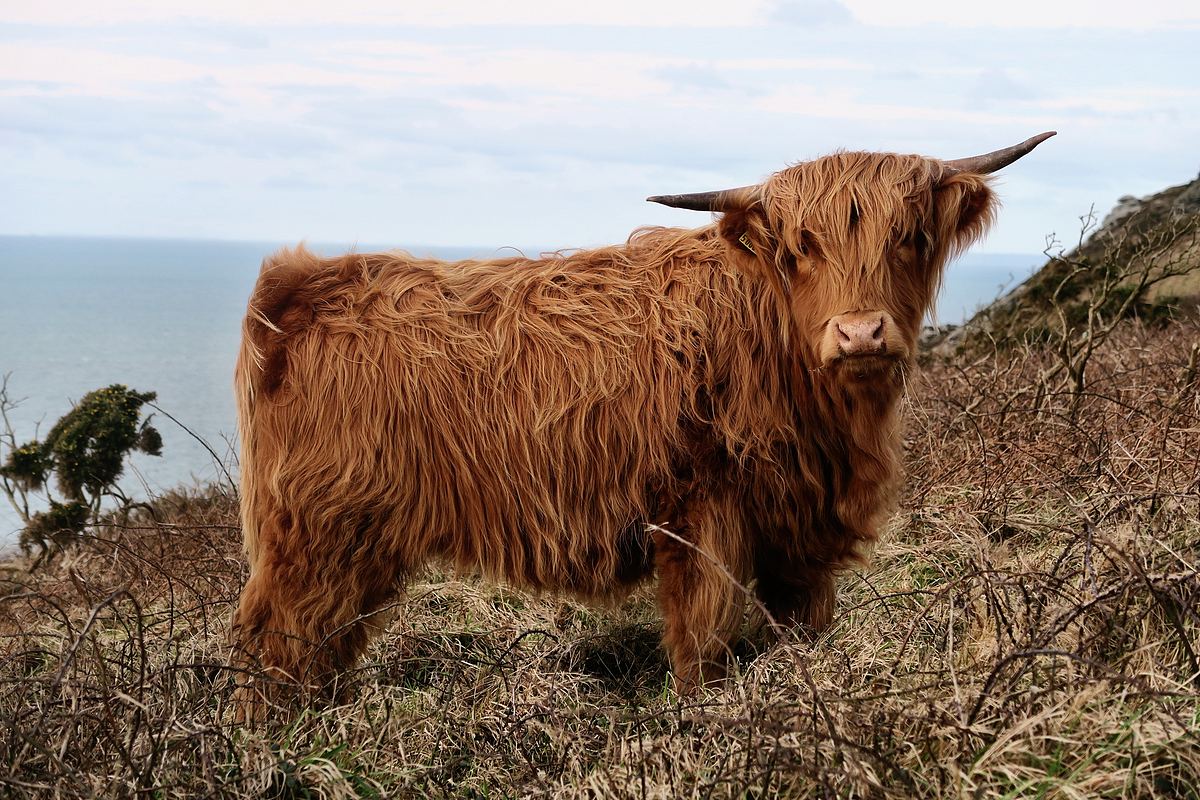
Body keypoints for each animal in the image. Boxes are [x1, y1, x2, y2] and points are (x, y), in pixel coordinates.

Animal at [229, 133, 1056, 714]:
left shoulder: (798, 532)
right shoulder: (701, 514)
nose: (860, 333)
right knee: (278, 643)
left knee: (323, 648)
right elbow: (704, 640)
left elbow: (801, 630)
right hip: (318, 532)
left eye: (910, 237)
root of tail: (303, 283)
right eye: (801, 247)